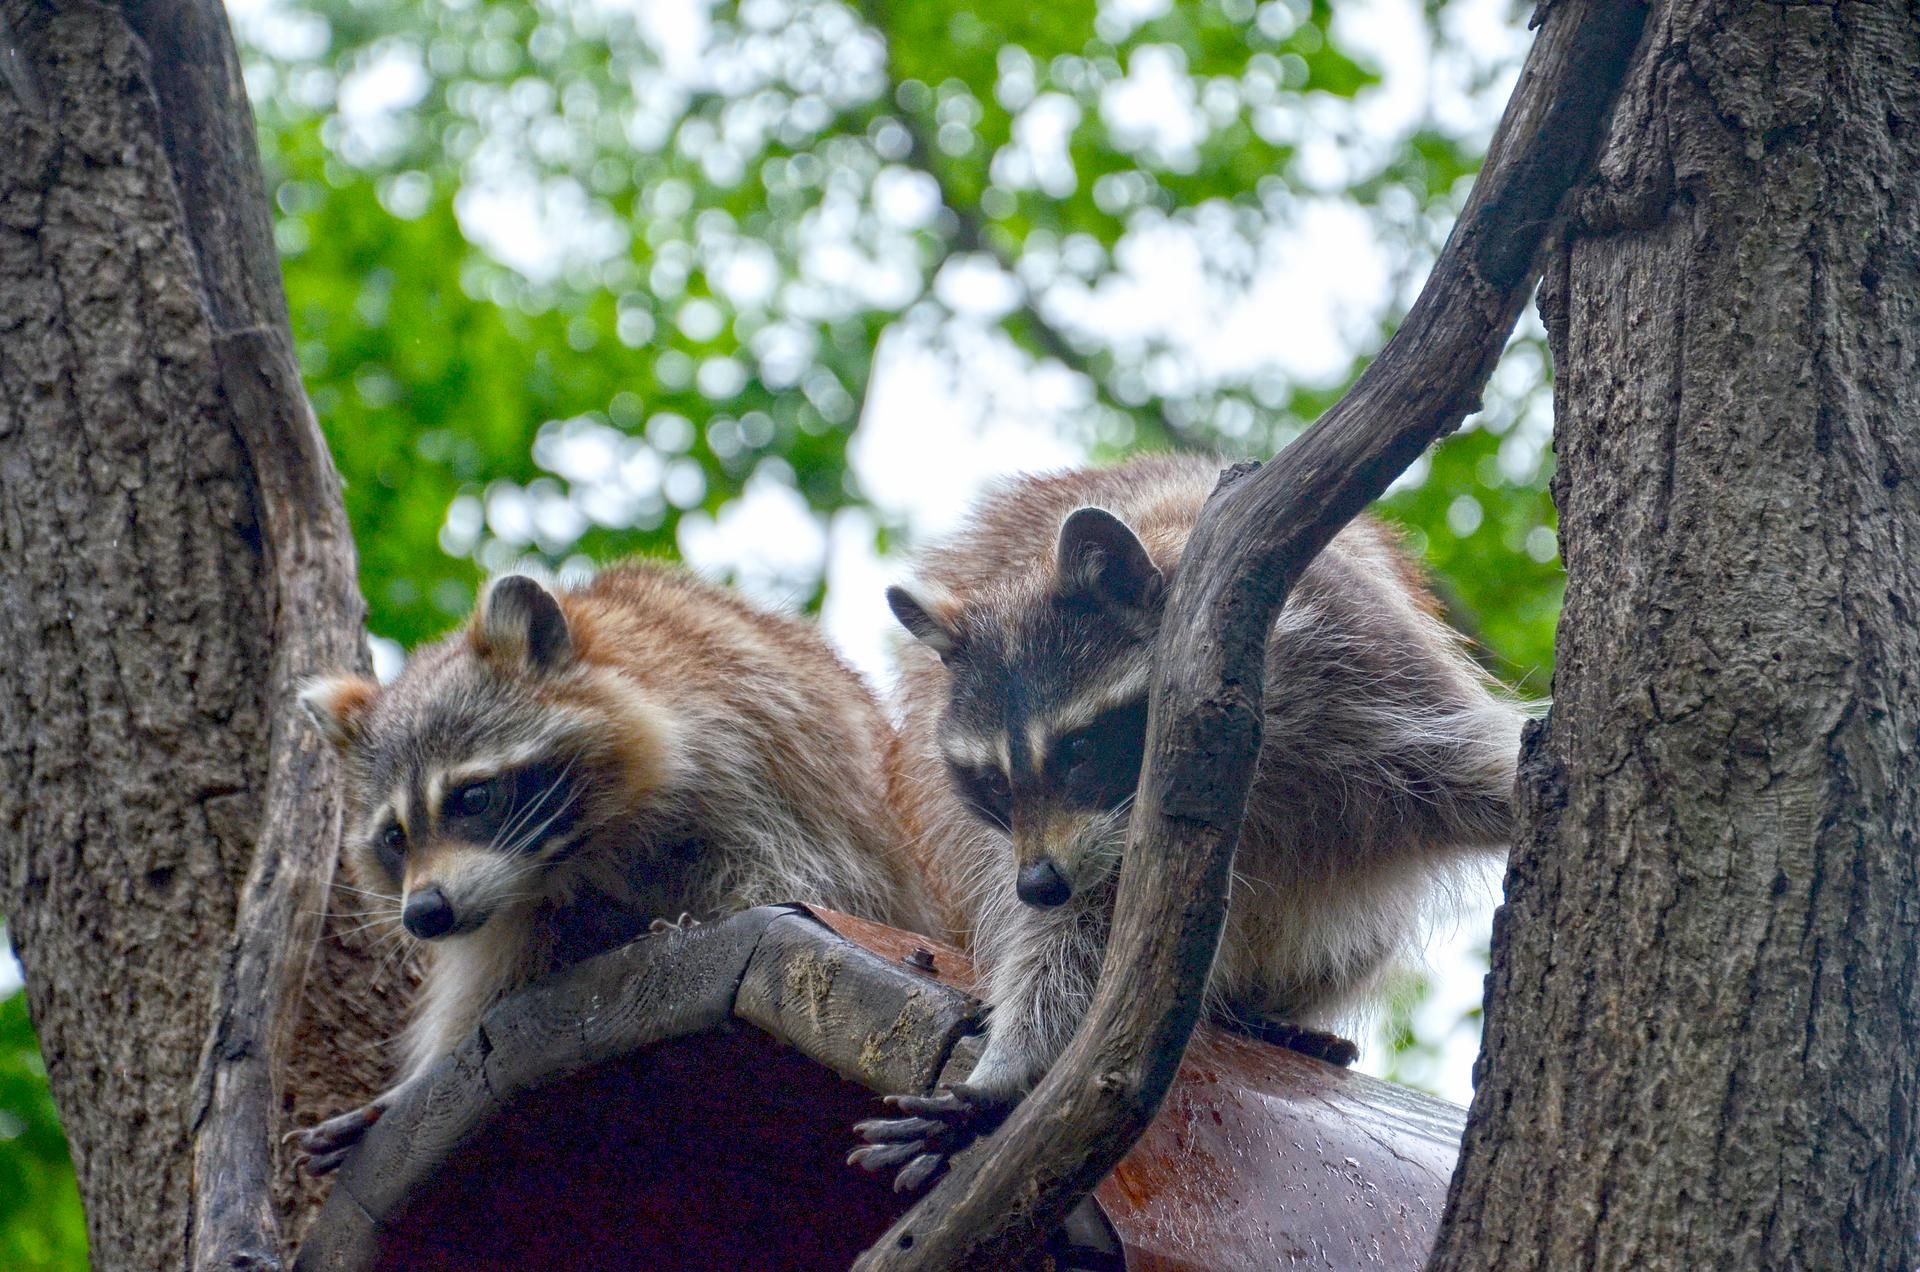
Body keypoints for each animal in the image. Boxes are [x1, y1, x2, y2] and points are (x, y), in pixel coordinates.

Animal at [286, 564, 936, 1175]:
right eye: (394, 838)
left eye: (474, 797)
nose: (424, 913)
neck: (568, 859)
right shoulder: (509, 914)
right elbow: (487, 989)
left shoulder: (762, 759)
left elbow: (814, 878)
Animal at [848, 453, 1520, 1191]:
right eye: (994, 781)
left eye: (1078, 750)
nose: (1039, 884)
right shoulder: (1104, 849)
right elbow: (1074, 949)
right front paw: (1004, 1071)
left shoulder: (1356, 662)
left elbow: (1475, 763)